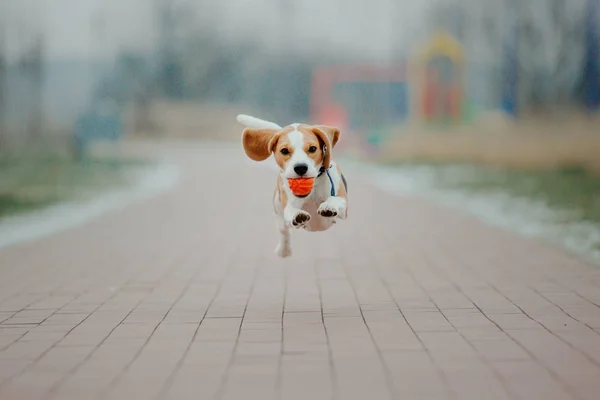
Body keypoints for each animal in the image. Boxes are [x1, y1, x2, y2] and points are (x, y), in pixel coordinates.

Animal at [236, 114, 346, 258]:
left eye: (312, 148)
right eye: (284, 151)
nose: (300, 167)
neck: (314, 187)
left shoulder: (343, 206)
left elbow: (335, 199)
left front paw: (328, 206)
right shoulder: (288, 205)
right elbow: (291, 210)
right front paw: (297, 215)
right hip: (278, 212)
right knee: (284, 232)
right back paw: (284, 250)